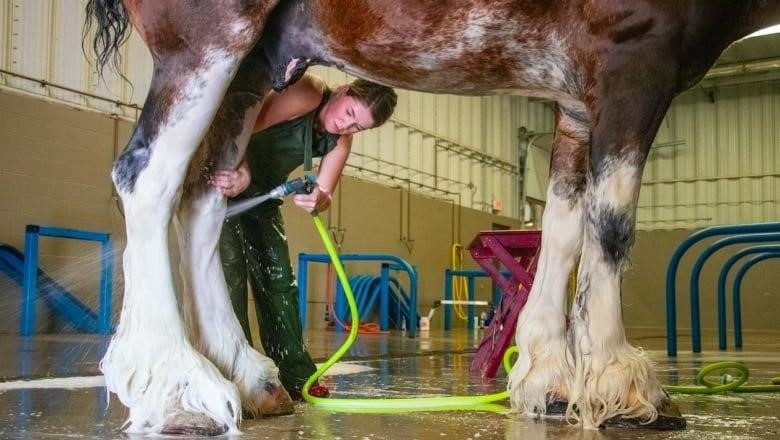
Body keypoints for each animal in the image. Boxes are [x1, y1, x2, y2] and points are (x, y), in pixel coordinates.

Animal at [85, 0, 780, 434]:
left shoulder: (577, 107)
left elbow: (561, 231)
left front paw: (549, 381)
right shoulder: (634, 65)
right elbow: (608, 226)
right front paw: (623, 387)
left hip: (251, 67)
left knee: (205, 201)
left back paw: (251, 381)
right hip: (209, 41)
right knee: (146, 179)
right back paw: (178, 386)